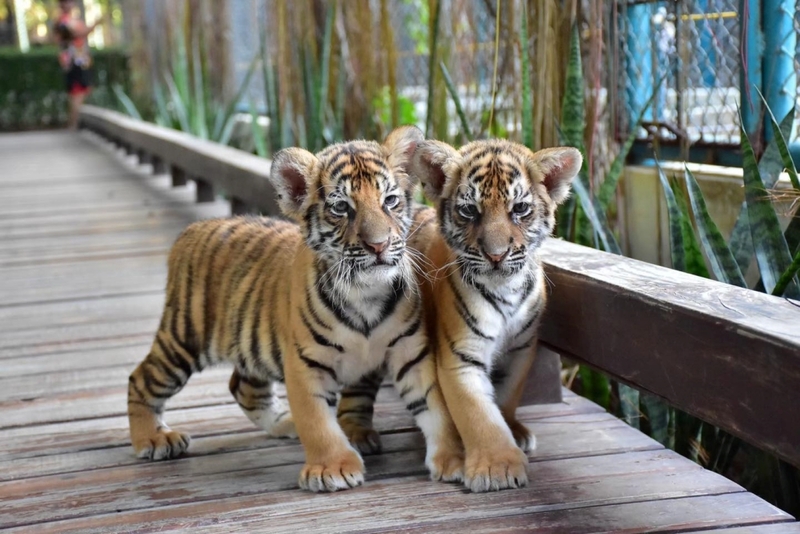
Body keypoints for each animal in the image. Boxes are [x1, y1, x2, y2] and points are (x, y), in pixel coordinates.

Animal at [127, 126, 464, 493]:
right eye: (341, 208)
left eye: (390, 201)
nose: (379, 245)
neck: (366, 294)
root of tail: (190, 230)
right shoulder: (306, 362)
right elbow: (317, 420)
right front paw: (333, 468)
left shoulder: (410, 352)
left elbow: (437, 407)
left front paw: (455, 459)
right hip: (184, 340)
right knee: (141, 378)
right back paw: (153, 439)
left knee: (244, 387)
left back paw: (283, 424)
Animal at [338, 139, 581, 492]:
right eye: (470, 211)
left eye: (519, 209)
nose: (496, 256)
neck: (506, 288)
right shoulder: (460, 355)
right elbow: (478, 414)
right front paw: (498, 468)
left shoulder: (521, 348)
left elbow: (506, 397)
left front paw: (513, 432)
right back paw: (358, 435)